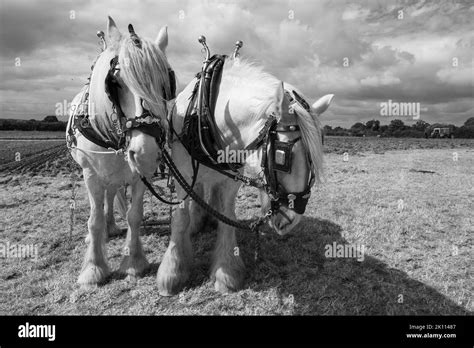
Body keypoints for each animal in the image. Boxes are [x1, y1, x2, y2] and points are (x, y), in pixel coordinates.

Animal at [66, 17, 174, 286]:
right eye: (115, 84)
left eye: (166, 84)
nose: (146, 153)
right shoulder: (91, 174)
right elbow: (93, 220)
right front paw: (93, 269)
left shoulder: (140, 175)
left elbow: (134, 215)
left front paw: (134, 262)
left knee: (112, 192)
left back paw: (112, 226)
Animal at [141, 57, 334, 294]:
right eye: (282, 156)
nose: (291, 220)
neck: (205, 115)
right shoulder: (181, 173)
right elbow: (180, 217)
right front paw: (173, 274)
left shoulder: (230, 179)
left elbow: (228, 217)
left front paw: (226, 273)